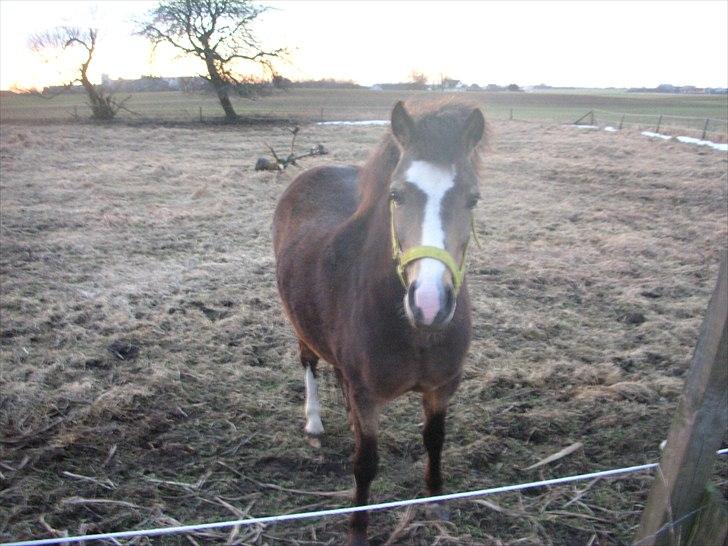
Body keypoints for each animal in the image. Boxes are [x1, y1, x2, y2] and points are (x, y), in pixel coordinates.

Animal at [272, 99, 486, 545]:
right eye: (395, 194)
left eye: (473, 199)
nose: (429, 303)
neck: (415, 334)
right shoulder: (367, 395)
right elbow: (365, 463)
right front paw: (357, 529)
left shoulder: (442, 387)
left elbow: (434, 441)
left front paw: (435, 502)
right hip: (300, 325)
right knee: (308, 362)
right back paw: (314, 422)